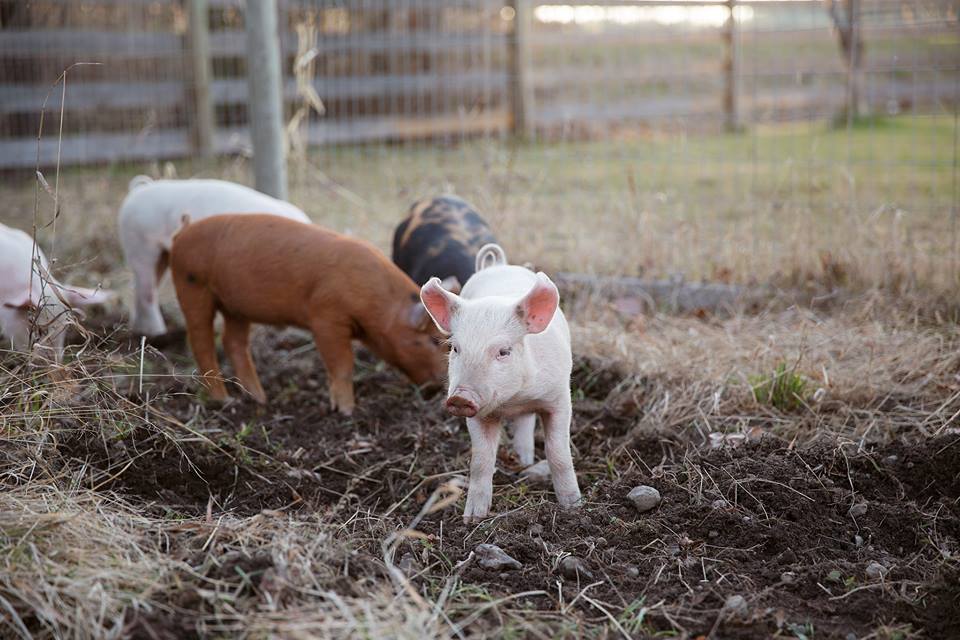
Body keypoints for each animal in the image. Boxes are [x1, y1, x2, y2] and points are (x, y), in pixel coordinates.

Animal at [116, 175, 312, 336]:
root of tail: (138, 190)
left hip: (158, 254)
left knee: (137, 288)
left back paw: (139, 331)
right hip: (140, 246)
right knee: (147, 293)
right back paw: (158, 334)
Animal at [418, 244, 576, 520]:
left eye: (503, 351)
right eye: (455, 348)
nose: (460, 397)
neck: (515, 399)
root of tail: (499, 264)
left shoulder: (559, 398)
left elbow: (558, 452)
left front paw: (573, 506)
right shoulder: (478, 416)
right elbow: (480, 461)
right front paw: (472, 518)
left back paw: (525, 462)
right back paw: (522, 460)